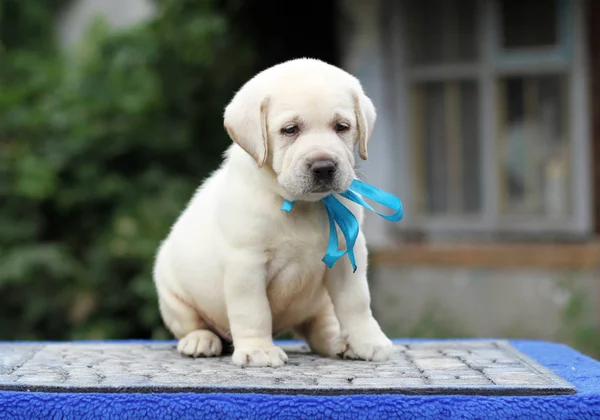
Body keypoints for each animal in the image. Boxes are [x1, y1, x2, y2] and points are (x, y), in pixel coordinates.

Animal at [154, 57, 394, 366]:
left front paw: (368, 341)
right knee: (192, 324)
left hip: (319, 304)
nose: (324, 167)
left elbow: (357, 302)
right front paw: (258, 349)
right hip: (172, 294)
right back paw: (200, 340)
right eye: (290, 129)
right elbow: (253, 310)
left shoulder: (345, 255)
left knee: (320, 327)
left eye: (342, 126)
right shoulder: (247, 264)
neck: (303, 204)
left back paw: (337, 340)